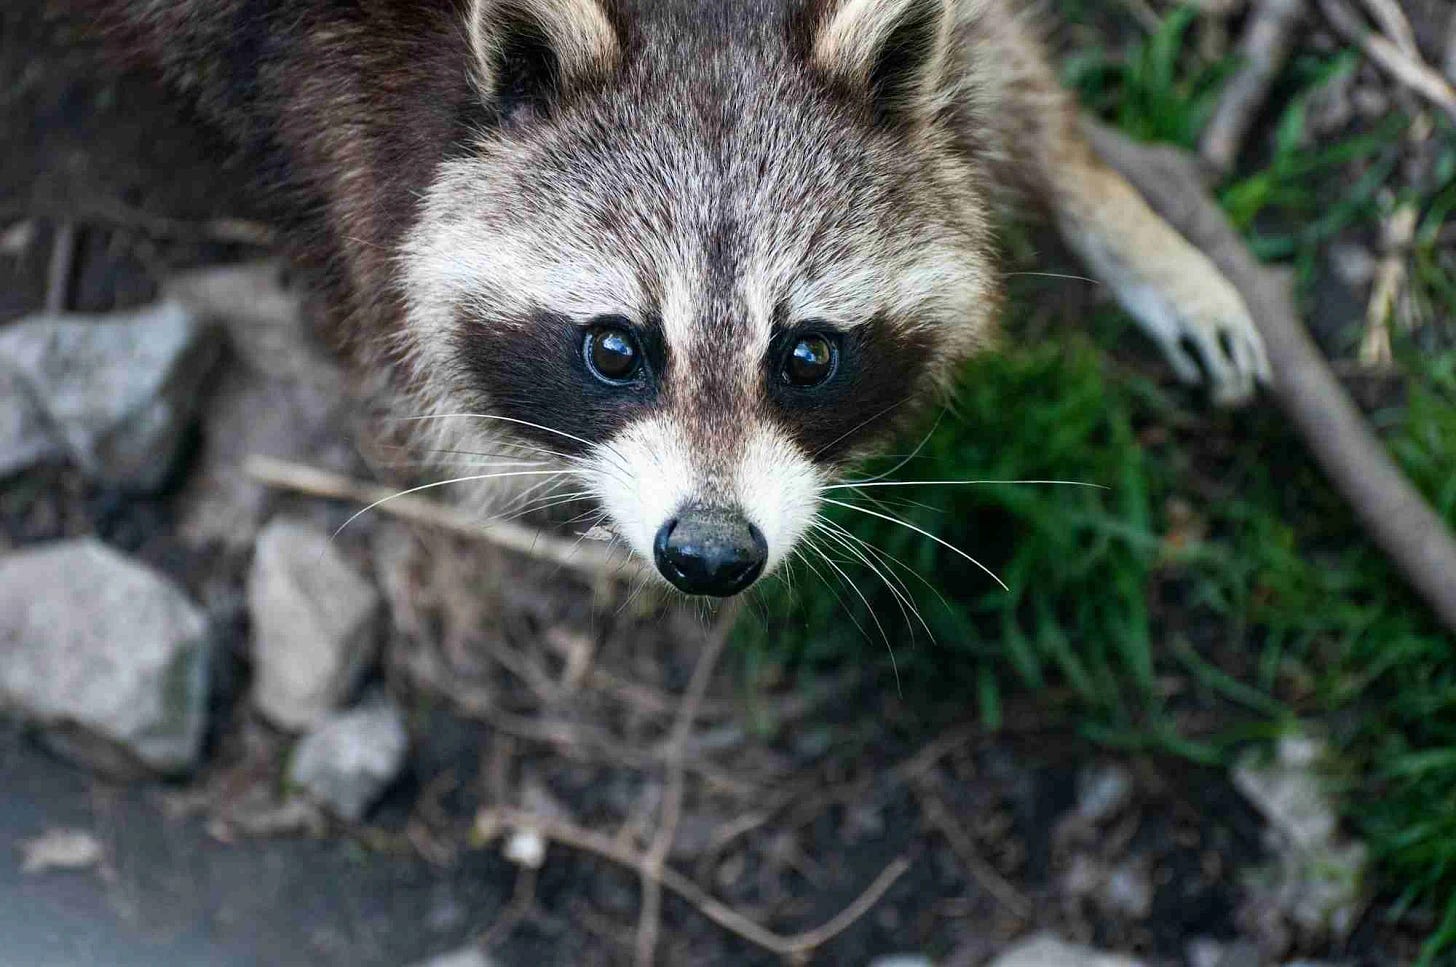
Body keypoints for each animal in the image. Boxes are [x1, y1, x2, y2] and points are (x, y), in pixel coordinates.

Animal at [81, 0, 1268, 597]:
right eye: (615, 349)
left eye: (806, 355)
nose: (707, 556)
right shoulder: (318, 88)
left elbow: (991, 62)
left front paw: (1101, 194)